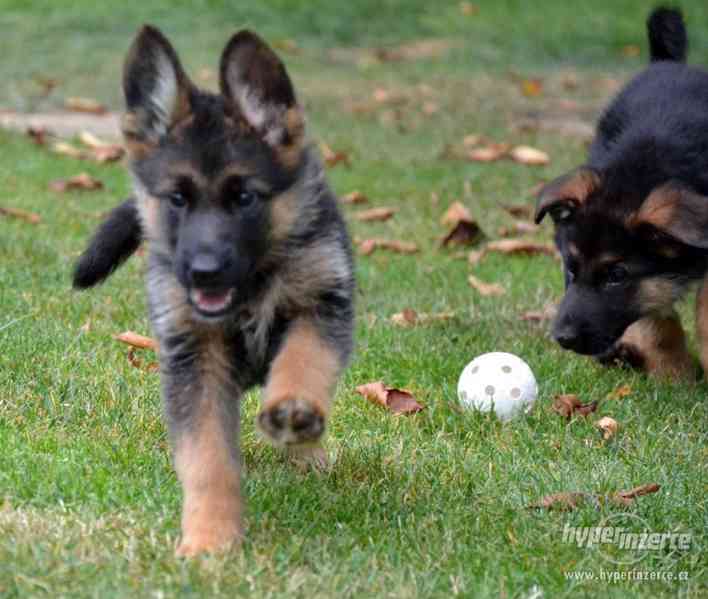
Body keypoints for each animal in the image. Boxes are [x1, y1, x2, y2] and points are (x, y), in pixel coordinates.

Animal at [72, 24, 354, 556]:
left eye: (244, 197)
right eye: (177, 199)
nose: (203, 273)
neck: (251, 286)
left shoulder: (322, 306)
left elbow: (304, 360)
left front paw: (294, 410)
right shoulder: (194, 359)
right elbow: (207, 459)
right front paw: (209, 540)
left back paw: (308, 450)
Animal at [532, 7, 708, 378]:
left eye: (616, 276)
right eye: (570, 268)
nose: (562, 338)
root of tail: (668, 64)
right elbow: (654, 318)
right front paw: (674, 376)